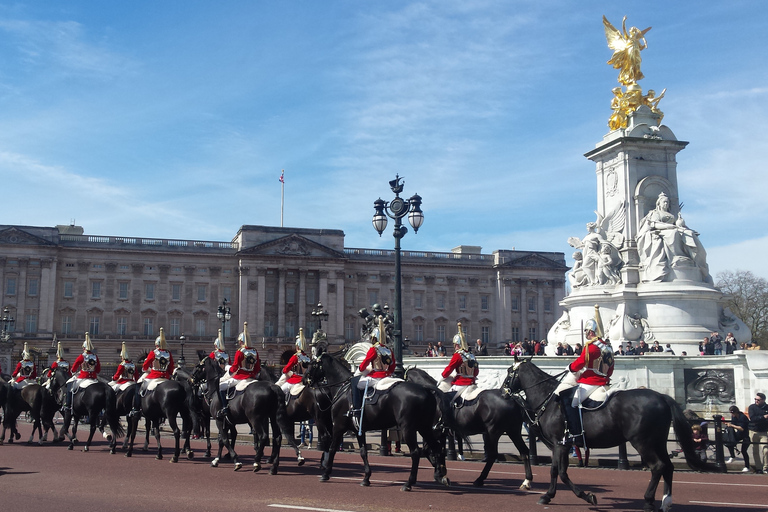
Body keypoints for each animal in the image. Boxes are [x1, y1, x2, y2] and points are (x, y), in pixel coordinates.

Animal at [304, 350, 450, 490]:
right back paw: (440, 475)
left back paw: (409, 483)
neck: (342, 389)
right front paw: (366, 478)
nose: (305, 379)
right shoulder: (358, 430)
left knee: (416, 452)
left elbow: (333, 448)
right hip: (424, 427)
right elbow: (363, 452)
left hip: (408, 428)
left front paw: (326, 473)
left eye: (313, 364)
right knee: (436, 447)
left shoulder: (338, 427)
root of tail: (425, 389)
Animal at [402, 366, 536, 490]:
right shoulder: (440, 432)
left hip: (493, 432)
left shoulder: (434, 431)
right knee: (524, 451)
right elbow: (438, 451)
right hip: (512, 431)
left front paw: (440, 473)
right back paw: (527, 481)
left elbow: (428, 450)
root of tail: (512, 398)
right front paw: (441, 472)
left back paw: (480, 479)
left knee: (493, 455)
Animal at [504, 358, 712, 510]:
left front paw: (582, 496)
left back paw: (648, 500)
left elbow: (560, 472)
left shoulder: (559, 443)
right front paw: (554, 495)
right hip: (658, 441)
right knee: (668, 466)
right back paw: (666, 502)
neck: (549, 397)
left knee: (658, 466)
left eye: (508, 372)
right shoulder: (561, 443)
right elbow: (558, 471)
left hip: (642, 442)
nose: (503, 392)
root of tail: (661, 396)